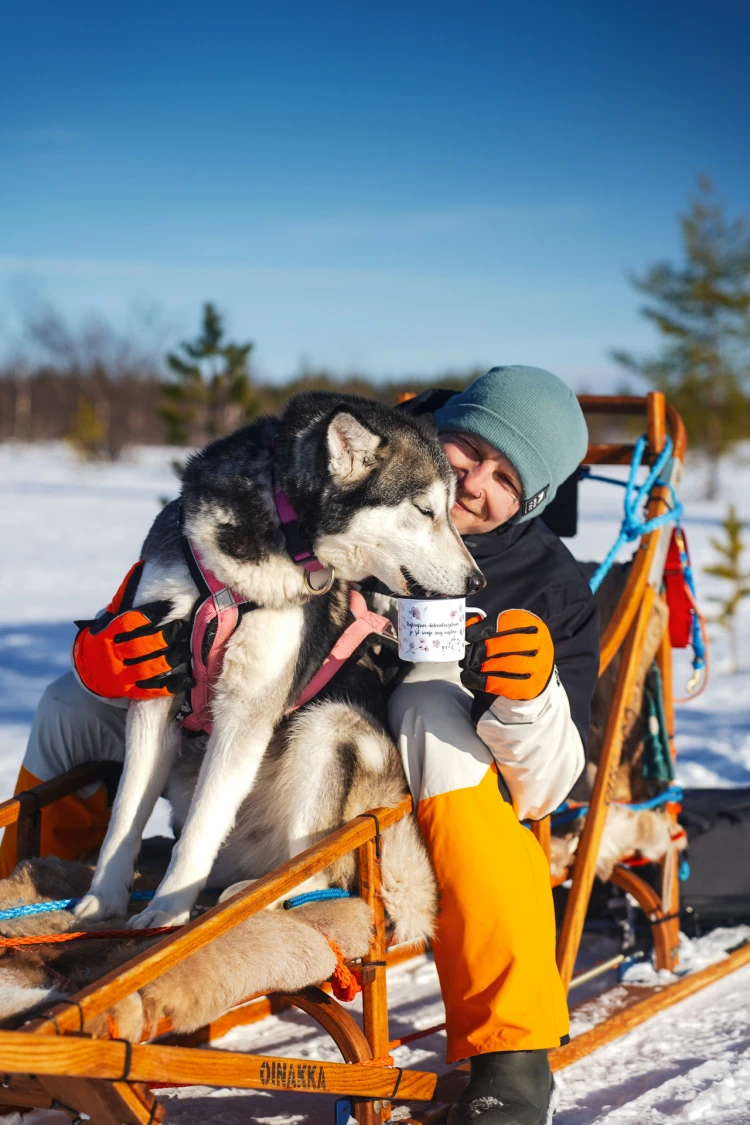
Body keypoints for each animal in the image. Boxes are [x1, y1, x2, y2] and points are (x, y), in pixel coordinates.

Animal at [76, 391, 483, 936]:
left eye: (450, 510)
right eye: (425, 510)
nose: (477, 581)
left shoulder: (247, 709)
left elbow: (201, 826)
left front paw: (166, 909)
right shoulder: (155, 689)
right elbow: (124, 815)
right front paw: (103, 898)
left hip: (328, 727)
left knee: (319, 871)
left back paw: (254, 895)